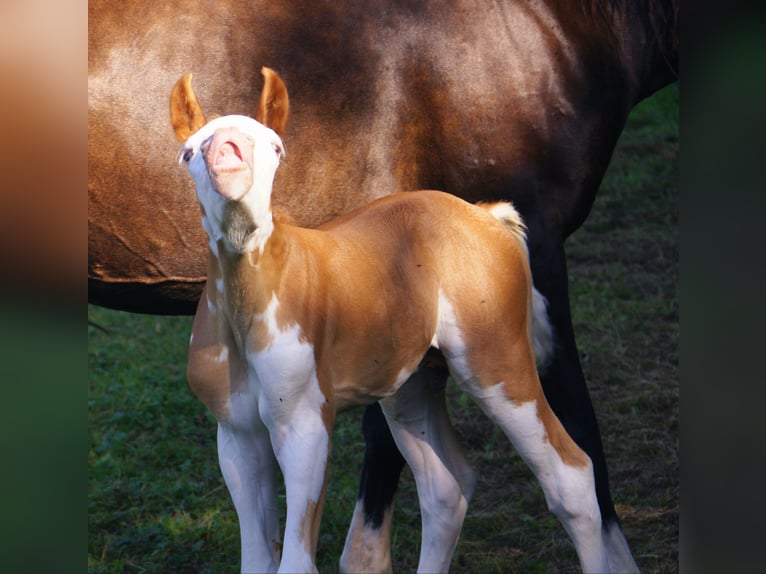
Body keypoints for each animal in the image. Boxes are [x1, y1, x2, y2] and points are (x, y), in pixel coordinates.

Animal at [88, 1, 678, 571]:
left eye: (275, 147)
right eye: (189, 151)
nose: (227, 154)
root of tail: (486, 216)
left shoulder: (304, 425)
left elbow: (296, 560)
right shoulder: (237, 435)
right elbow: (259, 558)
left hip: (496, 362)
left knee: (570, 474)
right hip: (412, 384)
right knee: (446, 487)